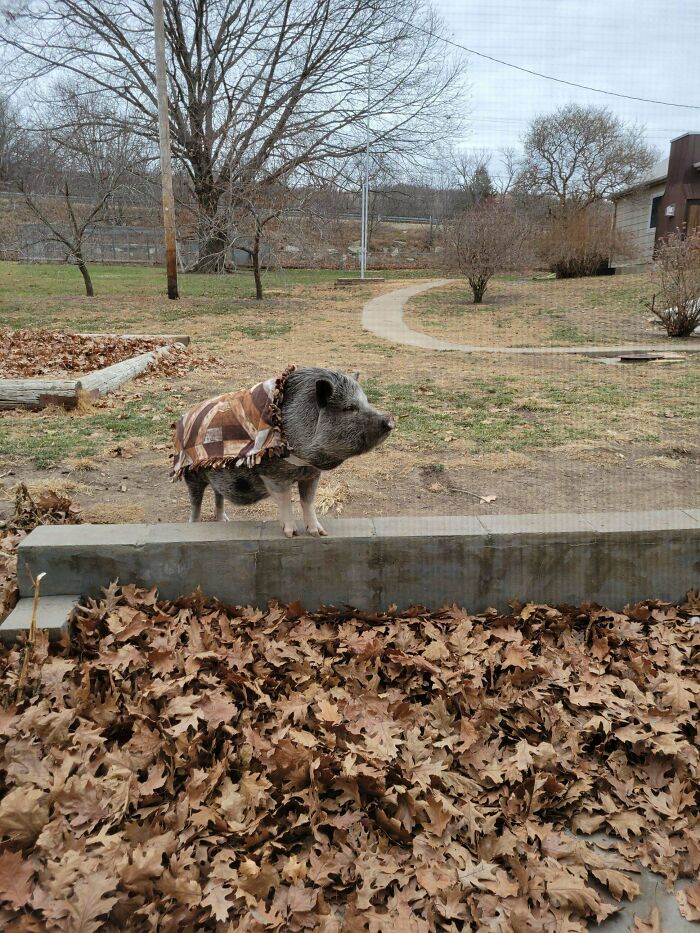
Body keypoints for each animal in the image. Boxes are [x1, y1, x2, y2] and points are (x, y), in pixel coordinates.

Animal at [183, 368, 395, 536]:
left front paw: (319, 533)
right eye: (349, 407)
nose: (390, 419)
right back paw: (193, 526)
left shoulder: (312, 474)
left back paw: (224, 521)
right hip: (191, 473)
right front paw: (292, 534)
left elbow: (308, 501)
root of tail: (184, 417)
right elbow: (285, 500)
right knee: (195, 503)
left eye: (367, 402)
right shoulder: (272, 473)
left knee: (218, 494)